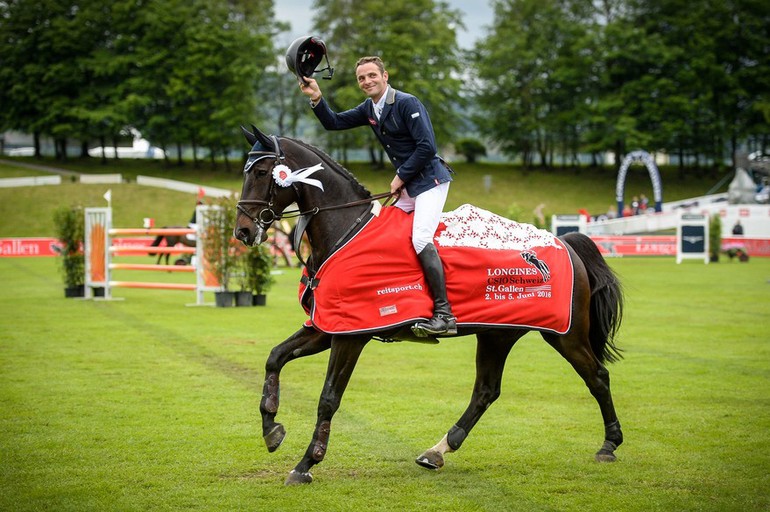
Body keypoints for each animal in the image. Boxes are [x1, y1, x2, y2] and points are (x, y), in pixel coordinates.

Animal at [231, 126, 620, 486]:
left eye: (262, 172)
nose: (243, 232)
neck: (346, 231)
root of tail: (565, 242)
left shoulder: (350, 335)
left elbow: (328, 397)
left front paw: (306, 463)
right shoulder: (328, 327)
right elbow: (275, 358)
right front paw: (271, 428)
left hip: (564, 334)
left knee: (597, 376)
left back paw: (609, 444)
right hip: (497, 334)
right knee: (486, 391)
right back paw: (438, 451)